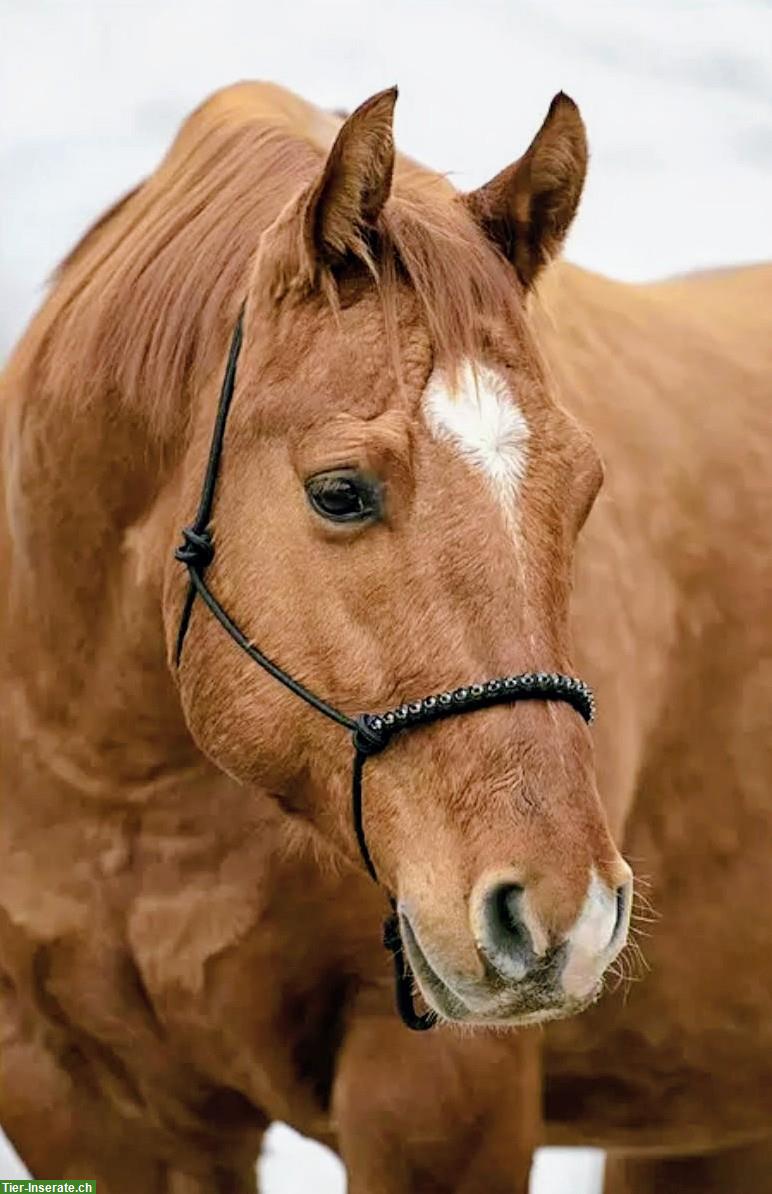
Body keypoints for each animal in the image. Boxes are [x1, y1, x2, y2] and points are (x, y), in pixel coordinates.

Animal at [0, 80, 770, 1193]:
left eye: (584, 491)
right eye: (340, 492)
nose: (560, 917)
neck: (126, 788)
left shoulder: (439, 1100)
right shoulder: (81, 1106)